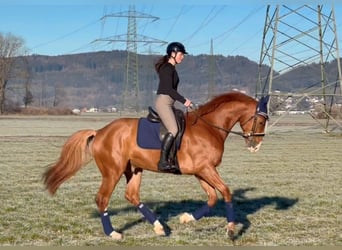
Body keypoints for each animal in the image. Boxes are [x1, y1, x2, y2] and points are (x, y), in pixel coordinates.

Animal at [42, 91, 268, 240]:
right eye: (261, 120)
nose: (256, 145)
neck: (209, 127)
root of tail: (100, 132)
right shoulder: (205, 169)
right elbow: (226, 192)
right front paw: (230, 229)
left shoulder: (201, 171)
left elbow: (212, 197)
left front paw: (186, 218)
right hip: (113, 172)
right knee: (102, 199)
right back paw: (113, 233)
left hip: (134, 170)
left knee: (132, 195)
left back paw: (159, 227)